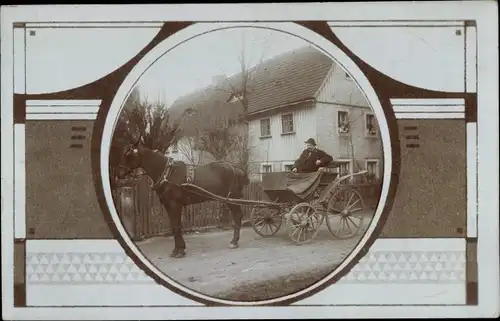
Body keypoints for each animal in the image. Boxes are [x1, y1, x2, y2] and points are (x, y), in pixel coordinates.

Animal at [113, 139, 250, 258]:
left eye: (128, 153)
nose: (118, 172)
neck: (167, 173)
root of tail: (236, 168)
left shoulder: (174, 205)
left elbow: (177, 226)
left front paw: (179, 250)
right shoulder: (168, 205)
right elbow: (174, 226)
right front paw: (177, 249)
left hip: (232, 199)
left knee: (237, 216)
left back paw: (234, 241)